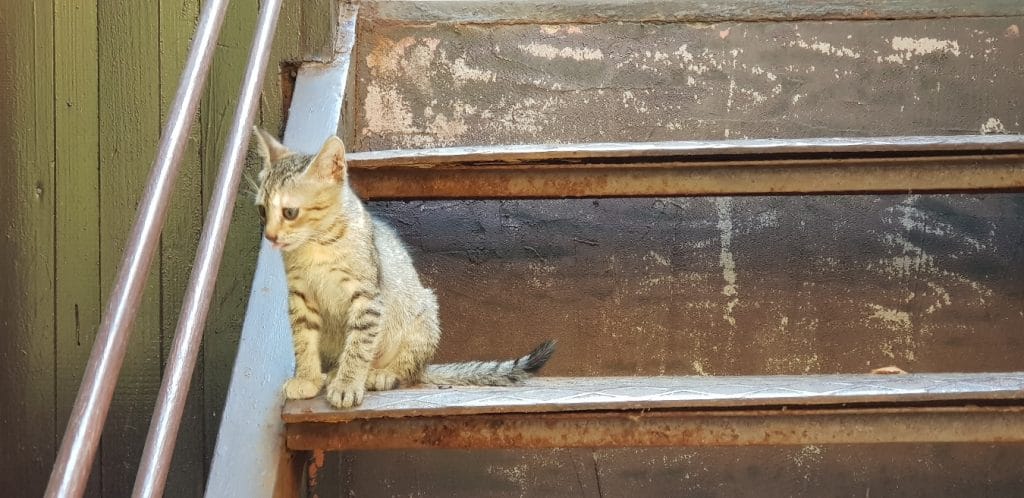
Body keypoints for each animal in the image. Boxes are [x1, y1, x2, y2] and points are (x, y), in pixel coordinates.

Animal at [251, 129, 557, 407]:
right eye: (262, 211)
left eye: (290, 212)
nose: (270, 236)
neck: (317, 245)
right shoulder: (301, 297)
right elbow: (303, 340)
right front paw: (308, 378)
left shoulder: (368, 297)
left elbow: (358, 346)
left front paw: (348, 384)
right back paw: (333, 373)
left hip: (424, 312)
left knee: (408, 371)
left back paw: (378, 374)